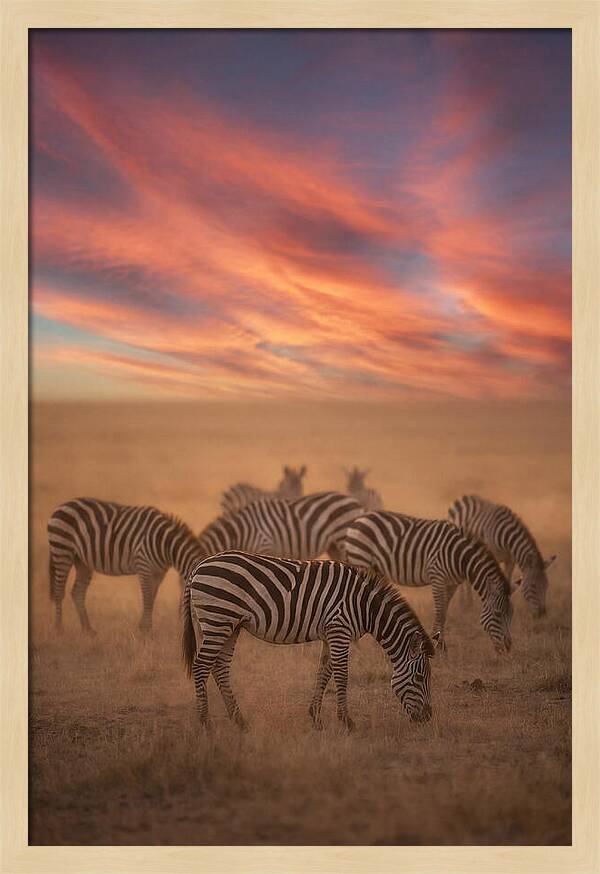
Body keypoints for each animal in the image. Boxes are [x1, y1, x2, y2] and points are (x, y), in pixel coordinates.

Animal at [48, 498, 204, 634]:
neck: (165, 544)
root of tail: (62, 505)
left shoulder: (159, 573)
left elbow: (152, 598)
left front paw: (143, 628)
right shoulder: (143, 565)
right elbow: (147, 597)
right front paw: (146, 631)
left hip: (82, 561)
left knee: (77, 592)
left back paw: (88, 630)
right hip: (62, 550)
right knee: (59, 590)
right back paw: (59, 629)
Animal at [181, 550, 437, 731]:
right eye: (420, 677)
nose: (427, 717)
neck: (365, 606)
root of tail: (199, 566)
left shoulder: (330, 633)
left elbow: (324, 672)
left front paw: (316, 718)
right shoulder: (339, 629)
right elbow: (342, 675)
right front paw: (347, 721)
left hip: (229, 625)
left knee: (220, 667)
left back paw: (239, 721)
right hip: (218, 619)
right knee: (201, 666)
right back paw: (205, 722)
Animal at [342, 511, 515, 654]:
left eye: (511, 614)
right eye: (497, 614)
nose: (507, 648)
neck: (460, 557)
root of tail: (359, 519)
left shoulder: (452, 583)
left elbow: (444, 612)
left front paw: (441, 645)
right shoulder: (437, 576)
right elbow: (439, 611)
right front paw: (439, 645)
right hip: (361, 558)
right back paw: (357, 646)